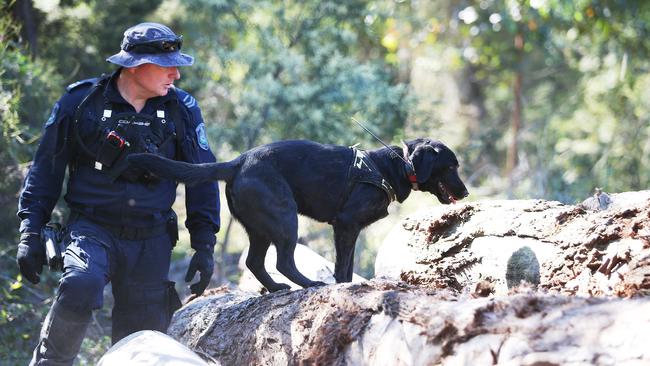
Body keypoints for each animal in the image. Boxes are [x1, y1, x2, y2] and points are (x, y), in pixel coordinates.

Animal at [129, 139, 468, 294]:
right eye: (452, 166)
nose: (465, 193)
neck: (393, 166)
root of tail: (238, 162)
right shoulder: (346, 224)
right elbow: (342, 267)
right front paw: (339, 287)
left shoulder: (349, 229)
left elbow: (346, 268)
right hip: (285, 218)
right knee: (282, 261)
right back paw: (308, 283)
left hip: (261, 227)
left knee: (255, 262)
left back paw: (277, 288)